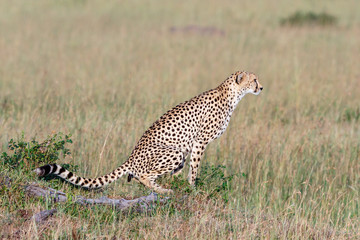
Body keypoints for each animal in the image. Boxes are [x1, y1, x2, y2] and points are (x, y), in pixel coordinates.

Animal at [35, 71, 262, 193]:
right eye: (254, 80)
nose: (261, 88)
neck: (232, 95)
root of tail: (131, 157)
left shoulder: (194, 144)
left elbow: (183, 171)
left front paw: (181, 184)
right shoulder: (200, 141)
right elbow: (194, 169)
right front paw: (193, 188)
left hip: (177, 153)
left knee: (140, 177)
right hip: (173, 152)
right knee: (143, 175)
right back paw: (162, 189)